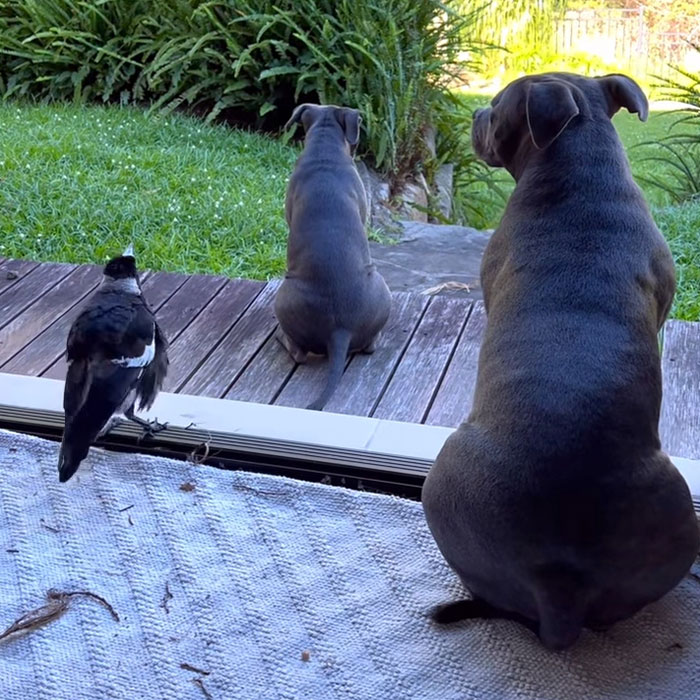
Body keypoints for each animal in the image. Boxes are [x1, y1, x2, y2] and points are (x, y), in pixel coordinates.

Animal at [274, 104, 394, 410]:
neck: (325, 149)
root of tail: (340, 331)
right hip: (381, 286)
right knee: (369, 346)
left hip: (283, 296)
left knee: (299, 353)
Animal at [422, 72, 700, 652]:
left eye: (496, 107)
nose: (475, 113)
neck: (578, 168)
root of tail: (560, 585)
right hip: (677, 512)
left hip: (441, 481)